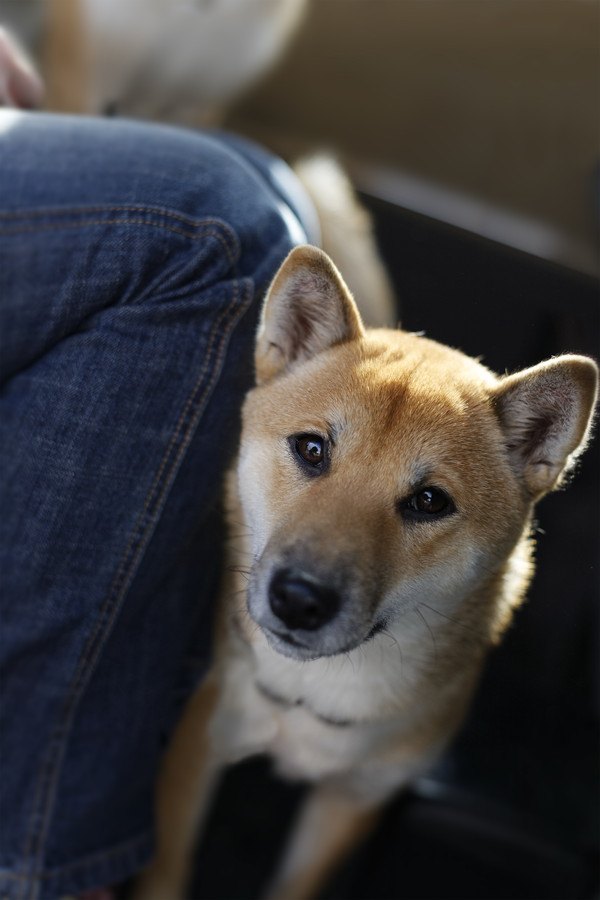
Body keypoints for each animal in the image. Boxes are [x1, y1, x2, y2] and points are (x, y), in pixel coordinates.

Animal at [134, 241, 596, 900]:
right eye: (311, 449)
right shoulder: (197, 744)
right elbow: (168, 873)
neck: (315, 693)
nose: (300, 600)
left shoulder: (351, 801)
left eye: (429, 501)